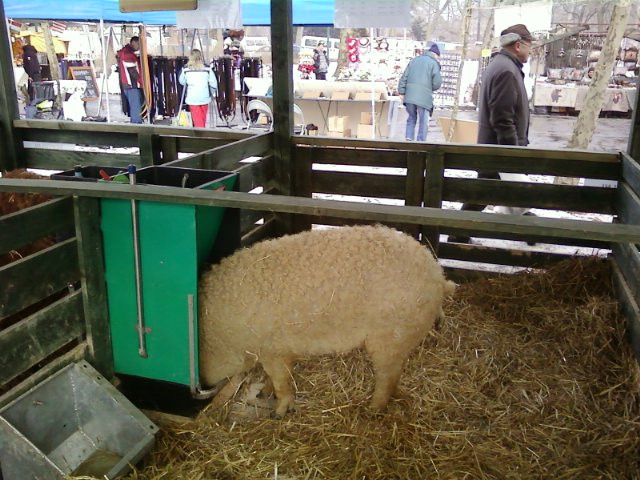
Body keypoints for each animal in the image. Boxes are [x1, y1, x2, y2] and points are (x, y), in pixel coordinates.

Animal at [200, 225, 456, 416]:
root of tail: (438, 275)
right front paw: (265, 393)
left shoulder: (272, 348)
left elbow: (282, 380)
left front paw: (279, 412)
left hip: (391, 337)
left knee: (388, 376)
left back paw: (372, 409)